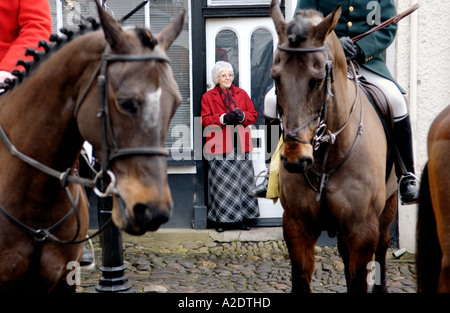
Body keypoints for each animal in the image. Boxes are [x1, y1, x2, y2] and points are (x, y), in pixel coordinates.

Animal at [268, 0, 396, 292]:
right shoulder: (297, 227)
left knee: (383, 249)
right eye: (276, 77)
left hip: (388, 208)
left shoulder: (363, 231)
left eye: (317, 80)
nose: (295, 159)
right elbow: (302, 279)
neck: (327, 156)